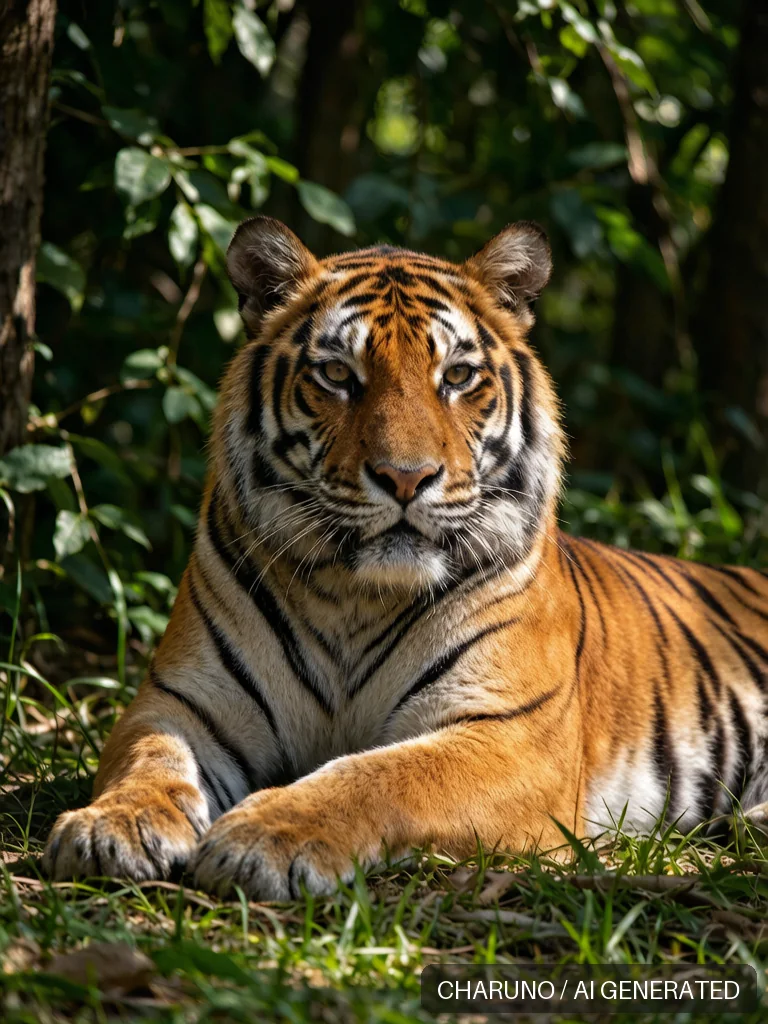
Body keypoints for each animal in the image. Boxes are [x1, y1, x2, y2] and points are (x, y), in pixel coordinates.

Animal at [43, 216, 768, 899]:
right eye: (337, 374)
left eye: (458, 376)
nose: (405, 477)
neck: (354, 596)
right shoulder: (182, 701)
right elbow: (150, 761)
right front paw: (113, 827)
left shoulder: (508, 732)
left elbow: (382, 774)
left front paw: (265, 838)